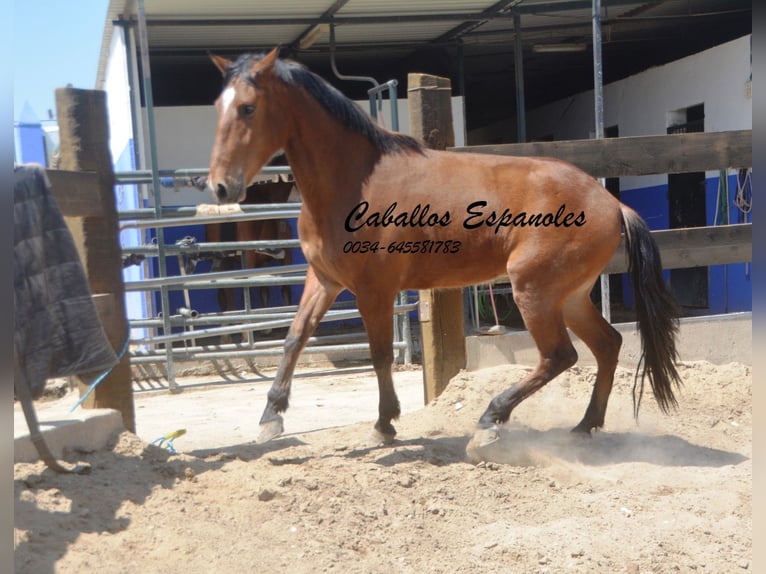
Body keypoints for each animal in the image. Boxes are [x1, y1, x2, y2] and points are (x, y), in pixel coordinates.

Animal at [204, 49, 684, 456]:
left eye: (248, 108)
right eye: (217, 106)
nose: (221, 187)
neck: (352, 182)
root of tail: (611, 203)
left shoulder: (374, 290)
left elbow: (380, 354)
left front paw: (384, 424)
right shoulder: (323, 280)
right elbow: (294, 338)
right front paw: (271, 417)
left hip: (535, 291)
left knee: (559, 356)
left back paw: (490, 421)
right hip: (570, 296)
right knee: (607, 345)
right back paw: (584, 426)